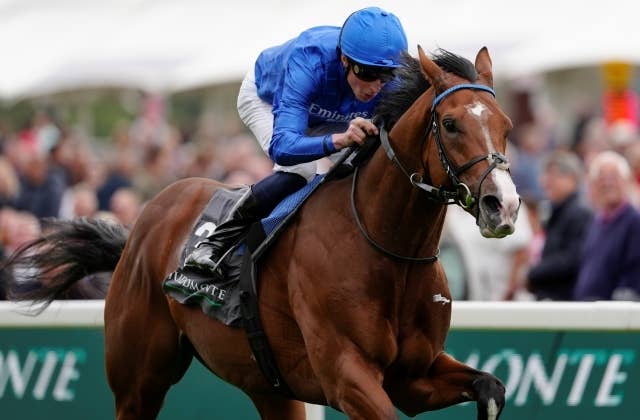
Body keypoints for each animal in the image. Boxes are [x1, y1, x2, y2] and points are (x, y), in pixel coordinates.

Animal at [3, 46, 519, 419]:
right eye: (450, 124)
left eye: (507, 126)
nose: (505, 205)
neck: (390, 249)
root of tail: (141, 225)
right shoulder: (347, 374)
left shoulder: (414, 376)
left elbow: (491, 386)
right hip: (137, 380)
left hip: (271, 386)